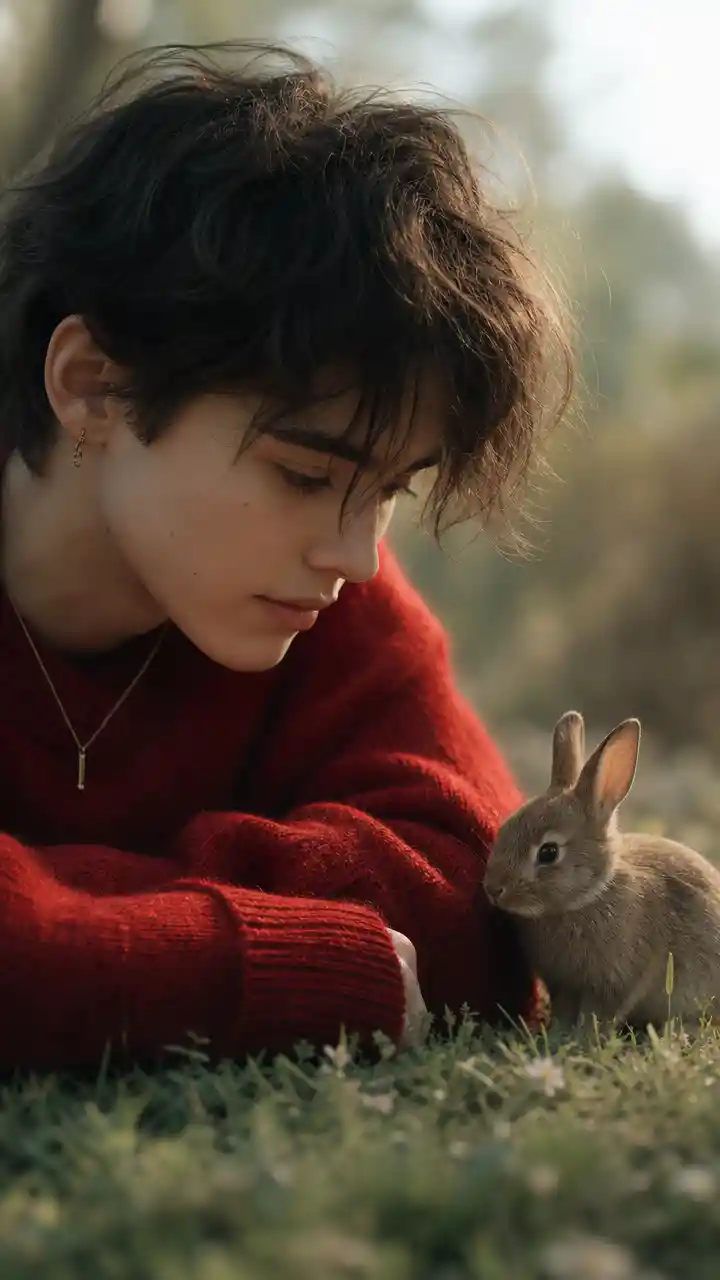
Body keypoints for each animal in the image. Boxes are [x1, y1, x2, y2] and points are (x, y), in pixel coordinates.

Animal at [483, 709, 720, 1030]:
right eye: (504, 829)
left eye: (548, 852)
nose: (493, 889)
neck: (588, 895)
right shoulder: (563, 984)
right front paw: (558, 1034)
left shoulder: (619, 981)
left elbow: (599, 1015)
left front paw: (585, 1037)